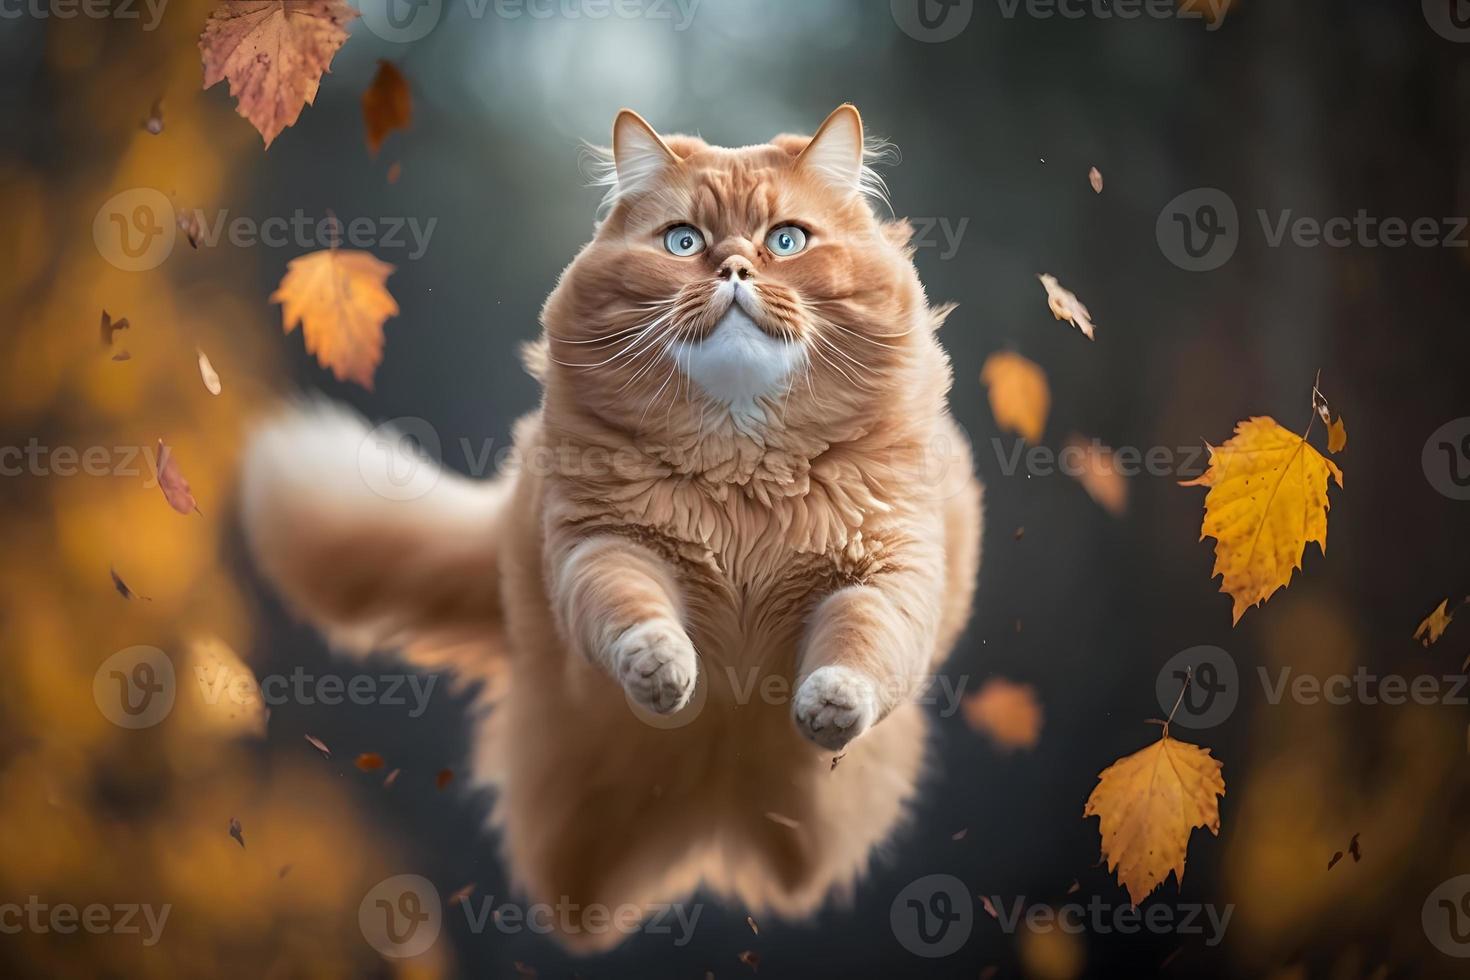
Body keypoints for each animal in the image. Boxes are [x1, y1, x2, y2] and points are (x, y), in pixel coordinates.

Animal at [241, 105, 981, 952]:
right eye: (684, 242)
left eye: (787, 241)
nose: (734, 268)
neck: (744, 472)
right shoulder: (606, 547)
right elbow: (634, 615)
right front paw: (663, 672)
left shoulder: (885, 570)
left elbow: (862, 645)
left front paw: (830, 706)